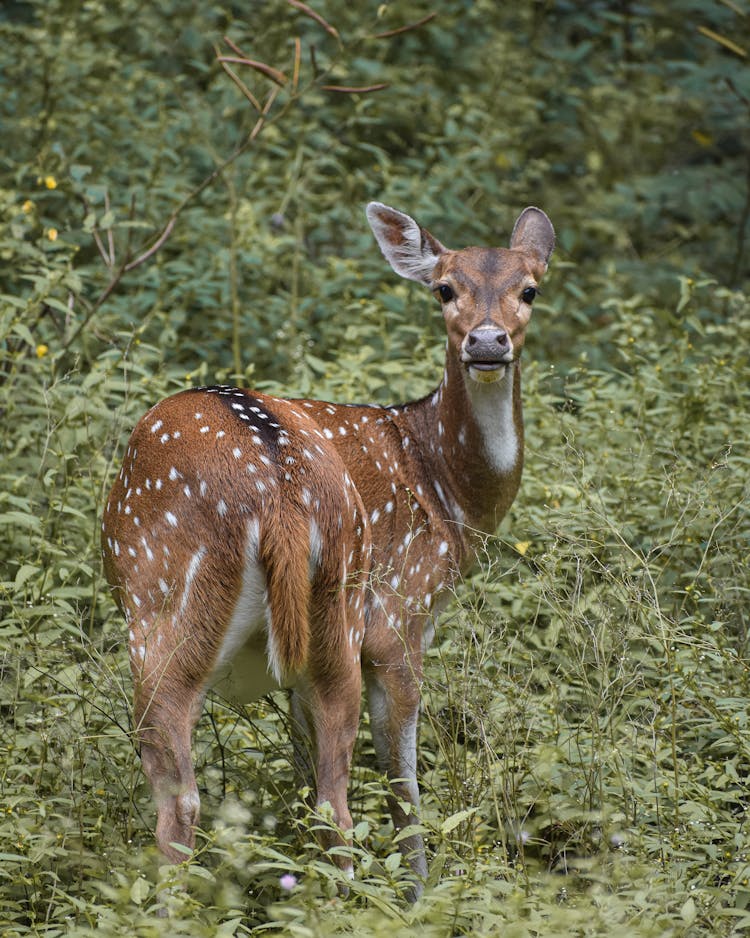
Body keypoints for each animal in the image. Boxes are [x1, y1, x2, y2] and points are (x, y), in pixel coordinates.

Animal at [103, 201, 556, 896]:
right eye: (444, 289)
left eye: (528, 289)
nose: (486, 342)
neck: (448, 492)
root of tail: (279, 489)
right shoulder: (402, 611)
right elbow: (401, 780)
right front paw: (420, 893)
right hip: (231, 610)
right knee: (255, 796)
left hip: (238, 612)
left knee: (269, 797)